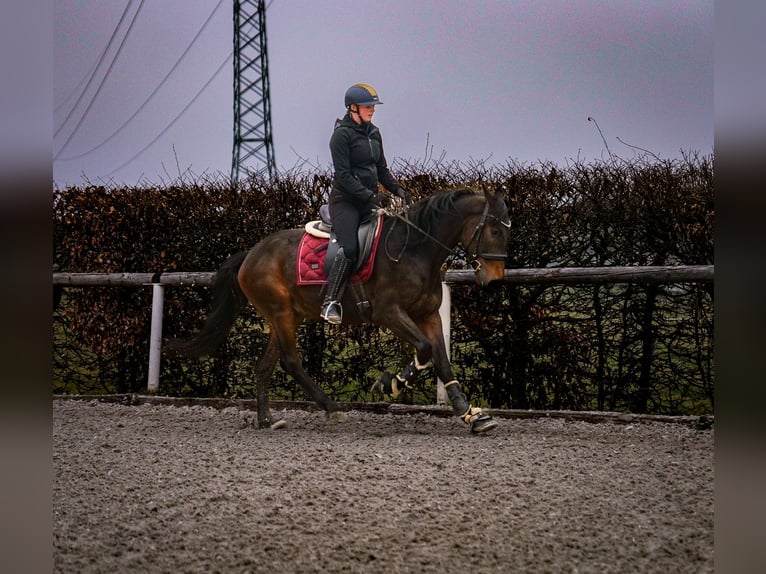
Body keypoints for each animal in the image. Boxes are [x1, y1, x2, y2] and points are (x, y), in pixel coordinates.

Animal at [171, 187, 512, 434]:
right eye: (495, 230)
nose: (495, 277)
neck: (414, 250)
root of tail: (251, 254)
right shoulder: (389, 313)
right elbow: (425, 350)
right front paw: (390, 383)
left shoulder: (427, 316)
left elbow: (441, 361)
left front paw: (469, 414)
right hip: (280, 314)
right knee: (290, 361)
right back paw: (331, 408)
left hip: (287, 315)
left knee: (264, 366)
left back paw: (267, 419)